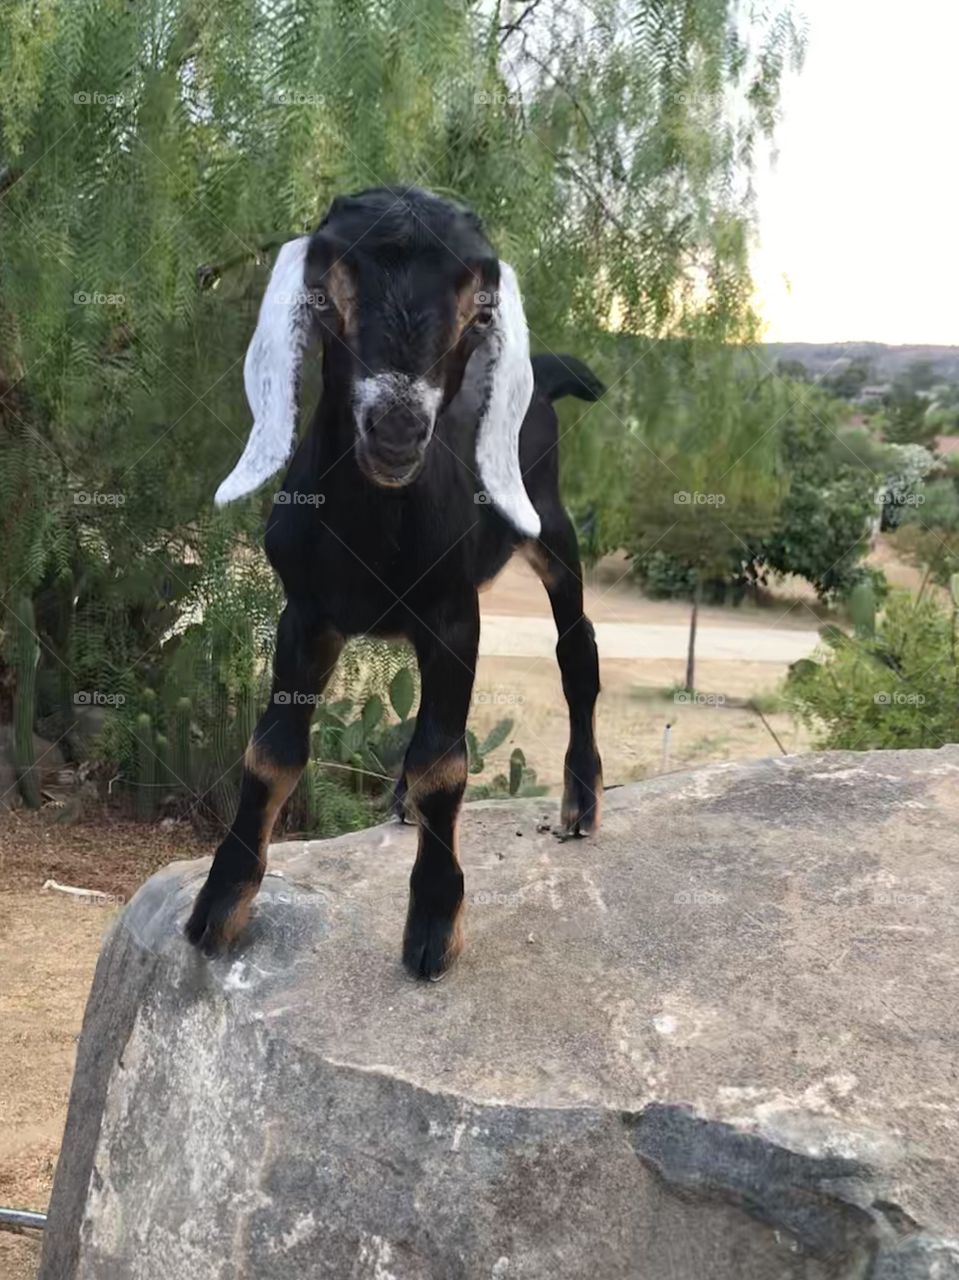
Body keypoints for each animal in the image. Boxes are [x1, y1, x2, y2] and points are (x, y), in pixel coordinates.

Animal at [186, 186, 604, 979]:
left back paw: (582, 800)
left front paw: (435, 927)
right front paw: (217, 907)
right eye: (322, 295)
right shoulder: (306, 613)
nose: (397, 430)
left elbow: (445, 764)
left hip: (549, 528)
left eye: (479, 309)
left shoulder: (452, 612)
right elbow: (272, 753)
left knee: (578, 652)